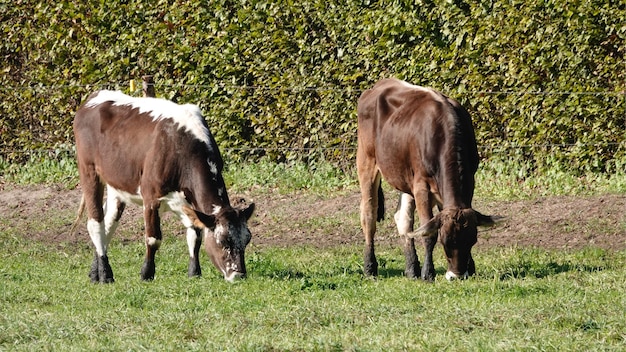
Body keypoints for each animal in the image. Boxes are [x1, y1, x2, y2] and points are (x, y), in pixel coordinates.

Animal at [74, 91, 255, 284]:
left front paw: (194, 272)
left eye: (247, 239)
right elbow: (153, 239)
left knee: (108, 225)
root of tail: (95, 96)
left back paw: (95, 272)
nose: (239, 275)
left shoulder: (188, 203)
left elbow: (195, 235)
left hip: (117, 185)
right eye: (223, 241)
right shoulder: (151, 197)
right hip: (89, 171)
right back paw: (105, 274)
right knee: (96, 223)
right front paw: (146, 273)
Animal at [356, 78, 498, 282]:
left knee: (403, 218)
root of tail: (379, 84)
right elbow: (428, 232)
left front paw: (470, 268)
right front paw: (428, 273)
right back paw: (370, 268)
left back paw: (411, 268)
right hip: (367, 161)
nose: (456, 275)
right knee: (369, 215)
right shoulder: (421, 186)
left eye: (473, 240)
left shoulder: (468, 181)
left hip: (405, 176)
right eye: (446, 241)